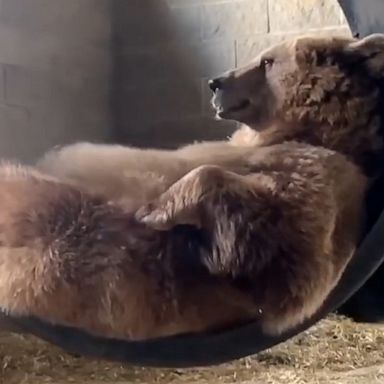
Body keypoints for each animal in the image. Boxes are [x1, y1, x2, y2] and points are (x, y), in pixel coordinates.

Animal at [0, 31, 382, 340]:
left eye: (267, 60)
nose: (217, 82)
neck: (303, 129)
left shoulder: (323, 184)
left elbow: (282, 250)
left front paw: (154, 210)